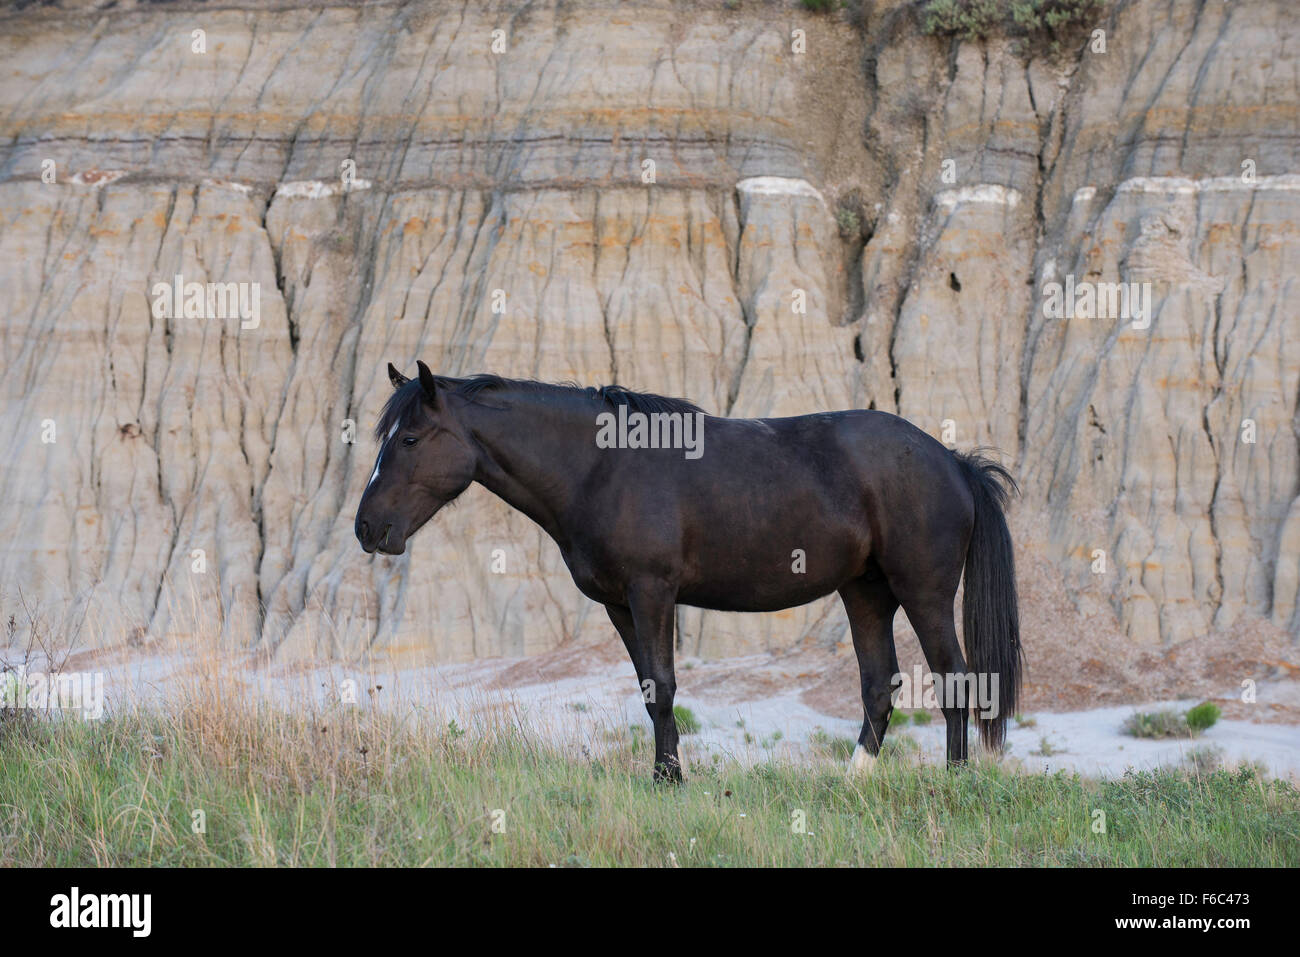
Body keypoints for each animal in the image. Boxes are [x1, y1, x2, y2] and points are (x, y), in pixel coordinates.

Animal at [358, 361, 1024, 780]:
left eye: (411, 438)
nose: (367, 528)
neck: (602, 467)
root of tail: (953, 461)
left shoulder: (652, 592)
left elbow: (664, 684)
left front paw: (669, 779)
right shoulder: (619, 604)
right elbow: (649, 689)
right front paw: (666, 774)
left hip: (923, 592)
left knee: (955, 678)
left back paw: (954, 780)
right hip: (865, 592)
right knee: (879, 686)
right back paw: (853, 781)